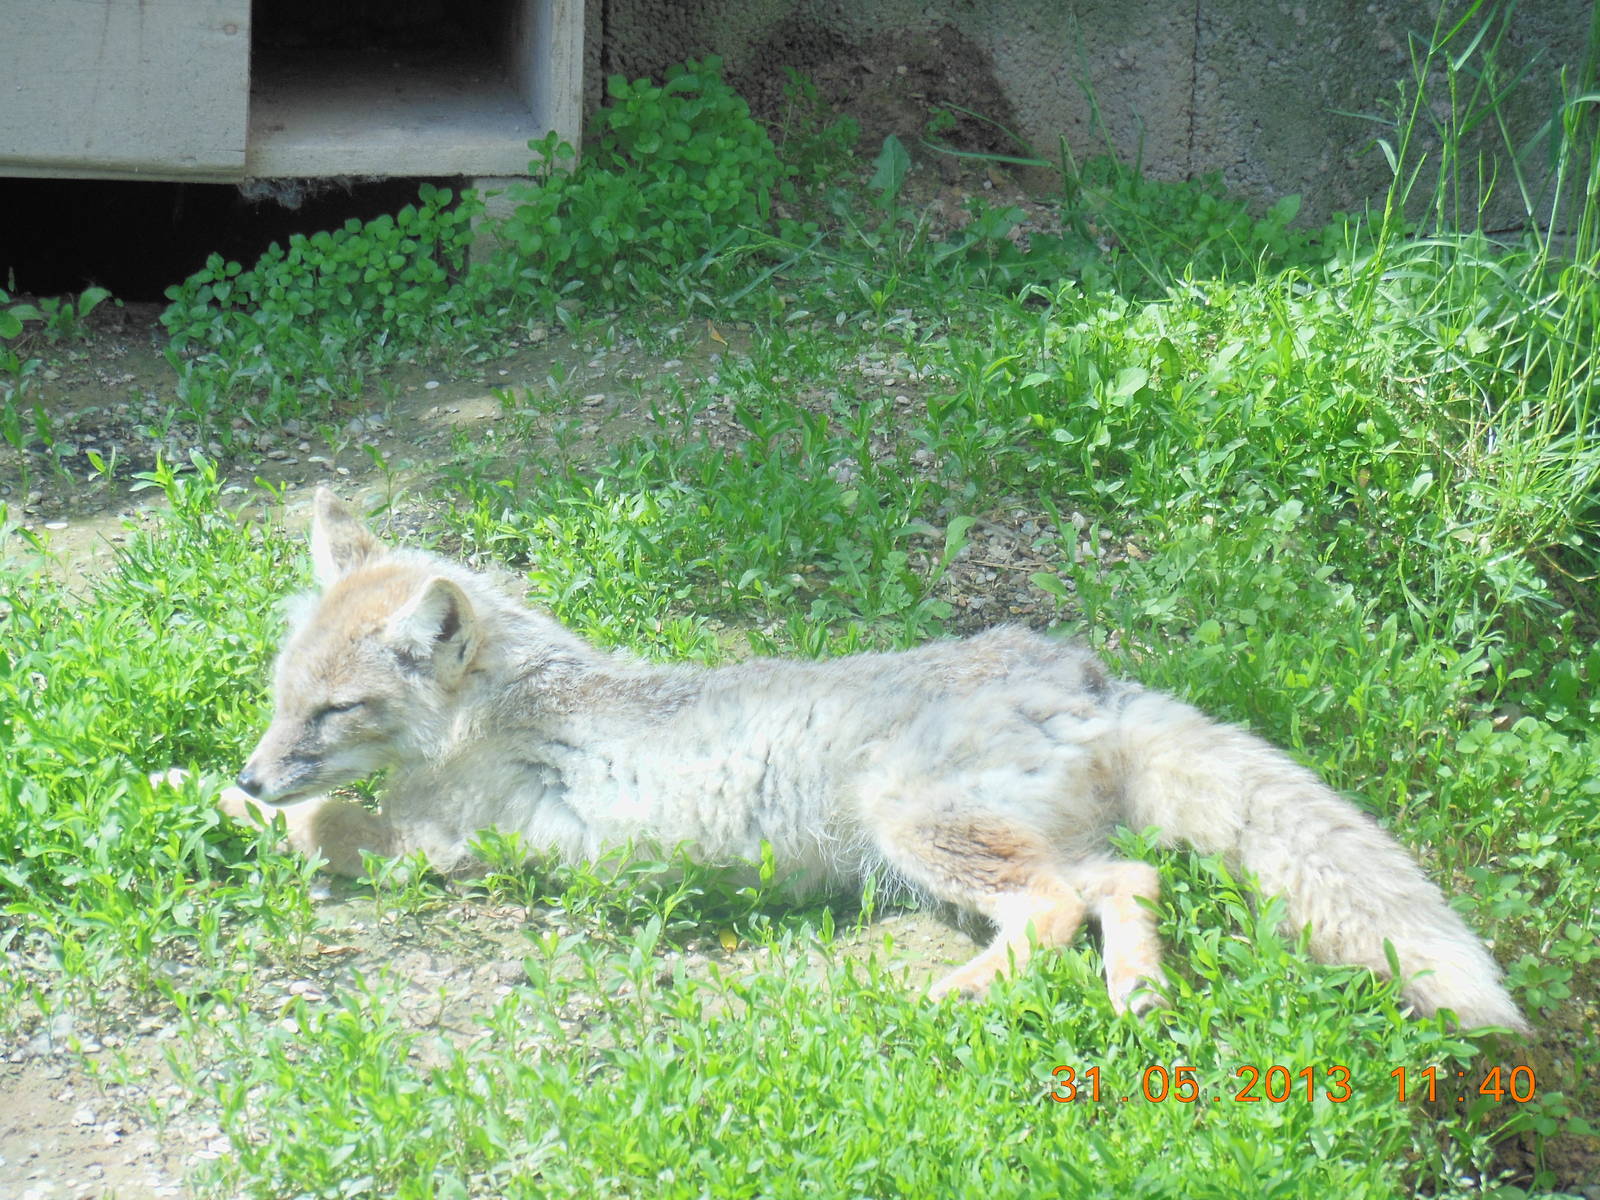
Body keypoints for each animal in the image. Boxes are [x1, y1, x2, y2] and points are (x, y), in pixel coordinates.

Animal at [192, 487, 1528, 1031]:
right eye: (280, 702)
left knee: (1060, 905)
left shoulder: (427, 846)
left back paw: (950, 1000)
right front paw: (198, 791)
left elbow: (310, 830)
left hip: (913, 829)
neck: (512, 699)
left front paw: (212, 808)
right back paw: (1135, 997)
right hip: (976, 841)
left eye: (333, 713)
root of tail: (1079, 673)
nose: (260, 768)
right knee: (1126, 884)